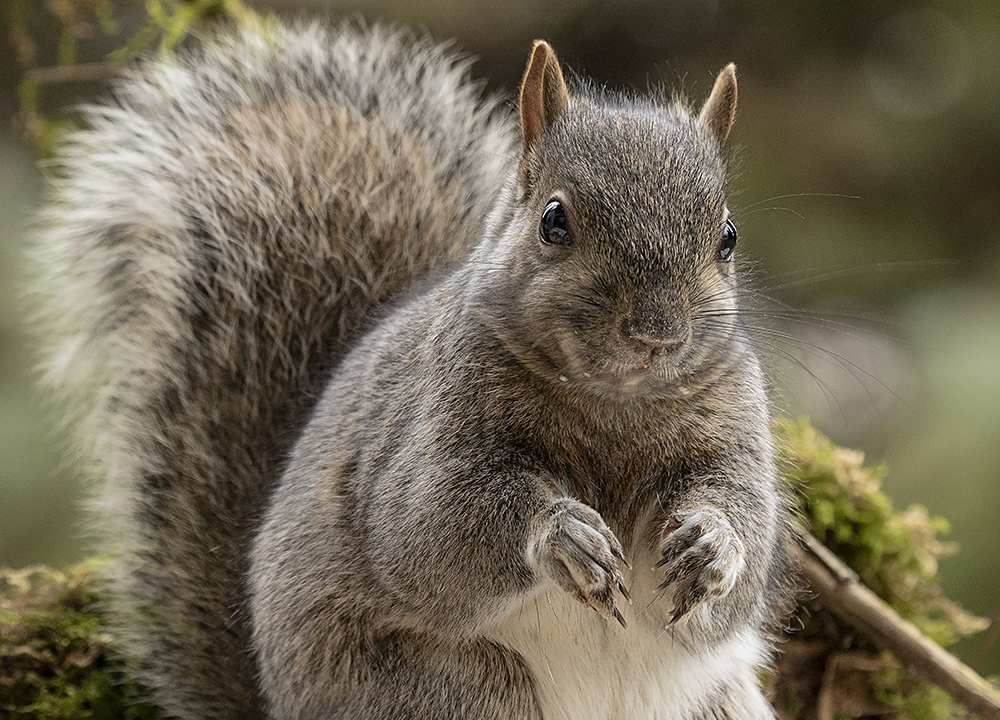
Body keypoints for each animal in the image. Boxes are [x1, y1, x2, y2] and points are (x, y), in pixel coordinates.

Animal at [33, 15, 796, 720]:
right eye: (554, 222)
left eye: (727, 237)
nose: (656, 335)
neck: (613, 405)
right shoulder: (429, 434)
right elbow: (428, 525)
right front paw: (561, 533)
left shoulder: (735, 433)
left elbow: (746, 534)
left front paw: (714, 545)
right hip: (455, 689)